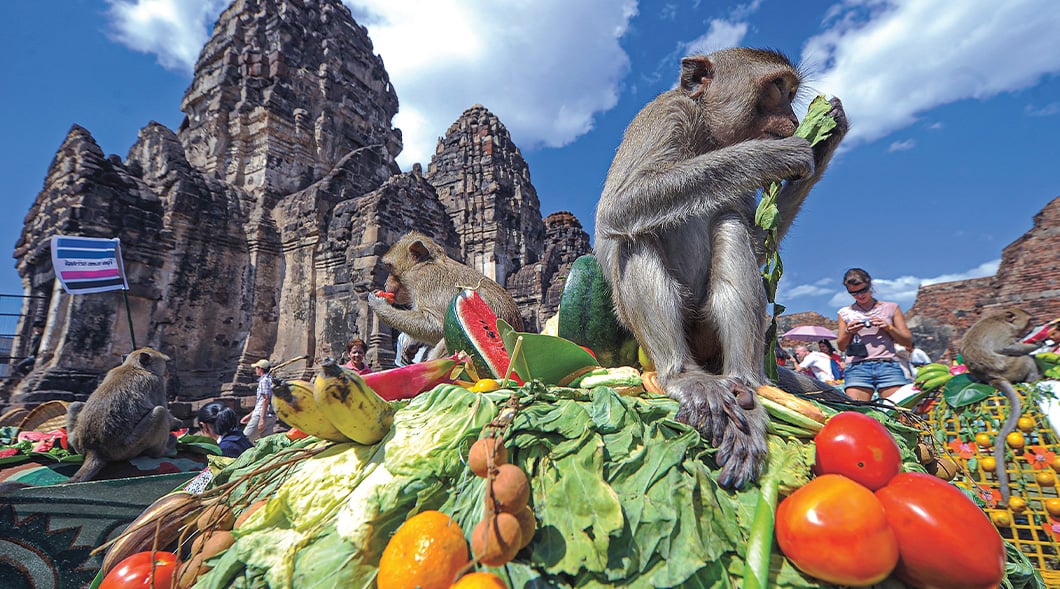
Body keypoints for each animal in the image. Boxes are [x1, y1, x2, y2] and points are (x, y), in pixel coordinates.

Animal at [64, 348, 183, 483]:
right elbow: (165, 411)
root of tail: (94, 450)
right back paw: (162, 451)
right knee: (160, 412)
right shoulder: (157, 383)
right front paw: (177, 423)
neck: (134, 366)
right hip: (127, 448)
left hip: (80, 442)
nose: (167, 373)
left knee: (75, 404)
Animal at [367, 231, 524, 358]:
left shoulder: (425, 282)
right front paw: (411, 343)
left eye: (389, 267)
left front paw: (379, 305)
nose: (385, 283)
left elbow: (436, 325)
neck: (424, 265)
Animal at [594, 48, 847, 489]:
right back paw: (682, 376)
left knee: (729, 223)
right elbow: (619, 207)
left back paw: (745, 385)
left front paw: (827, 135)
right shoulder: (666, 115)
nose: (793, 121)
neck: (708, 134)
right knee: (634, 236)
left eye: (791, 94)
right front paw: (771, 155)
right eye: (777, 89)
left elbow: (757, 239)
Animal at [960, 307, 1042, 506]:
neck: (1001, 318)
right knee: (1025, 359)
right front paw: (1038, 343)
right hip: (1012, 368)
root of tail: (992, 379)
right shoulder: (1005, 333)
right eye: (1029, 321)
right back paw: (1034, 376)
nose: (1035, 325)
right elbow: (1004, 348)